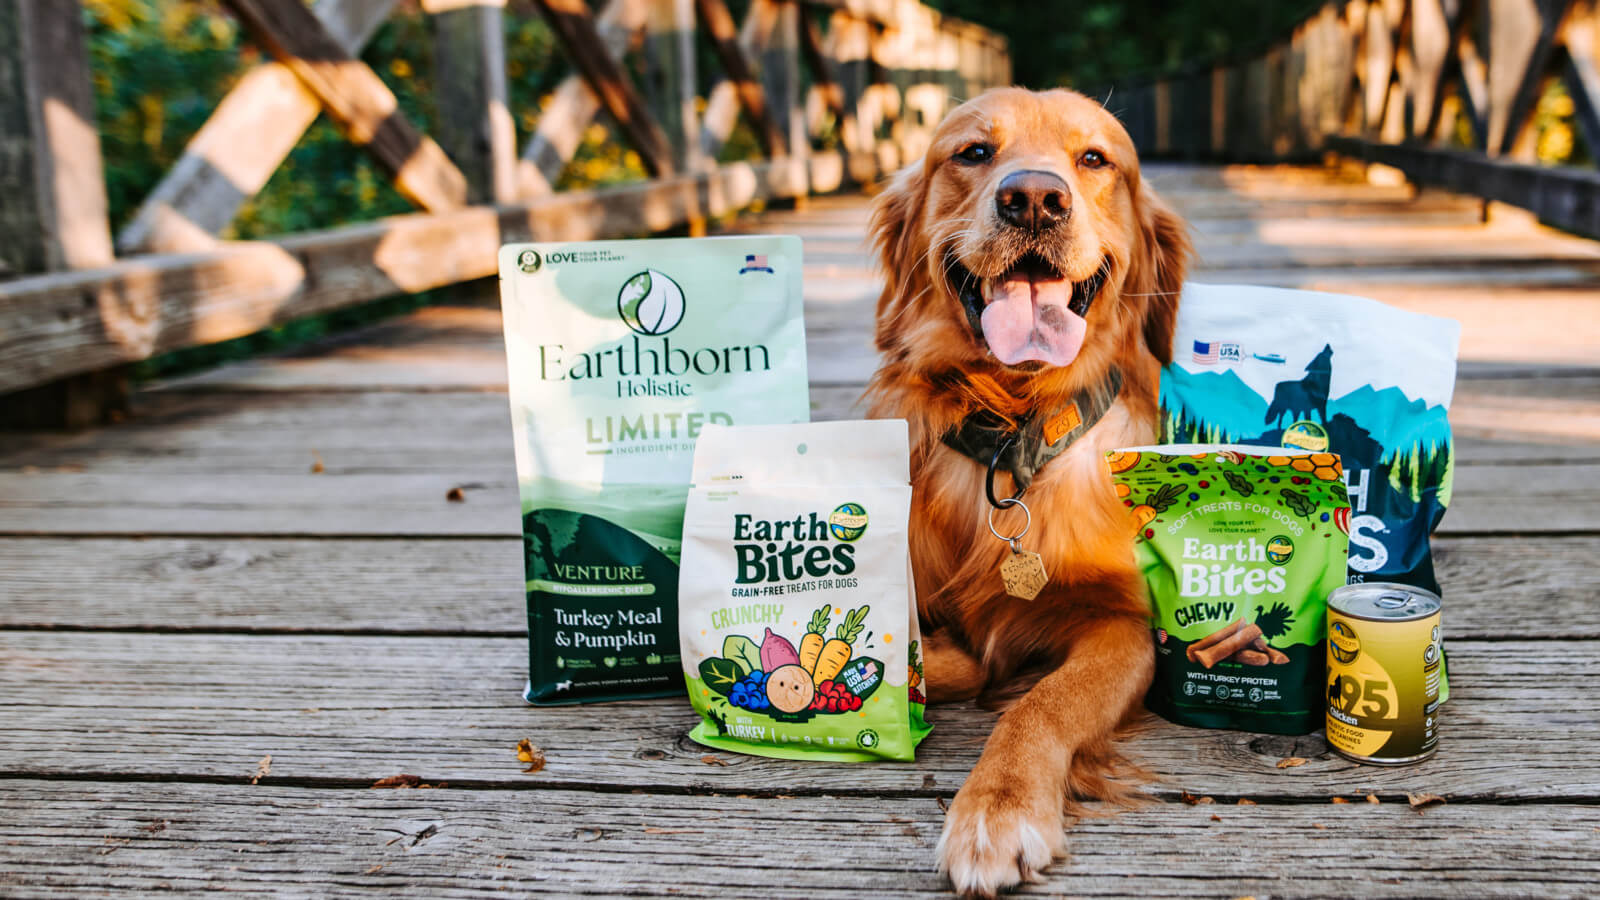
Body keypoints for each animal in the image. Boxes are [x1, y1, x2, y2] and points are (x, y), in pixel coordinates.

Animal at [864, 89, 1190, 890]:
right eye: (975, 152)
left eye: (1095, 158)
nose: (1035, 200)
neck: (1013, 428)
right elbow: (938, 656)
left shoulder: (1127, 625)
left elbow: (1045, 702)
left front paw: (999, 805)